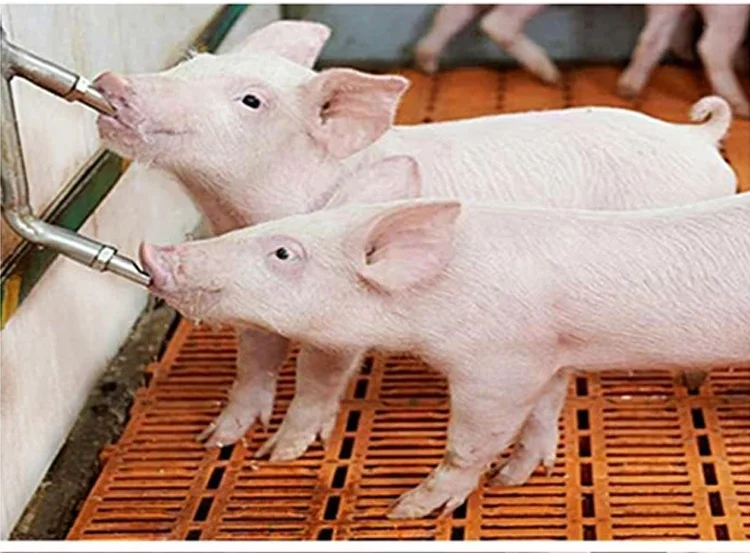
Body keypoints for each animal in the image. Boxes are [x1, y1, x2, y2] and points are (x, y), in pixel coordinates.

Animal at [93, 20, 738, 476]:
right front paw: (216, 439)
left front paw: (280, 453)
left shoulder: (340, 311)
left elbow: (317, 374)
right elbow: (253, 358)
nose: (113, 83)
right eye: (193, 63)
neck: (239, 209)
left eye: (250, 101)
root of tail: (697, 136)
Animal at [138, 160, 750, 519]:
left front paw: (406, 510)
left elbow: (472, 440)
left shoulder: (498, 364)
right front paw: (516, 477)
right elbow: (544, 413)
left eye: (284, 252)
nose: (154, 251)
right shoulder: (549, 353)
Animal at [618, 4, 750, 118]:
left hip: (665, 8)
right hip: (731, 11)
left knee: (651, 38)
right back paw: (742, 107)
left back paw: (628, 90)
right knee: (710, 48)